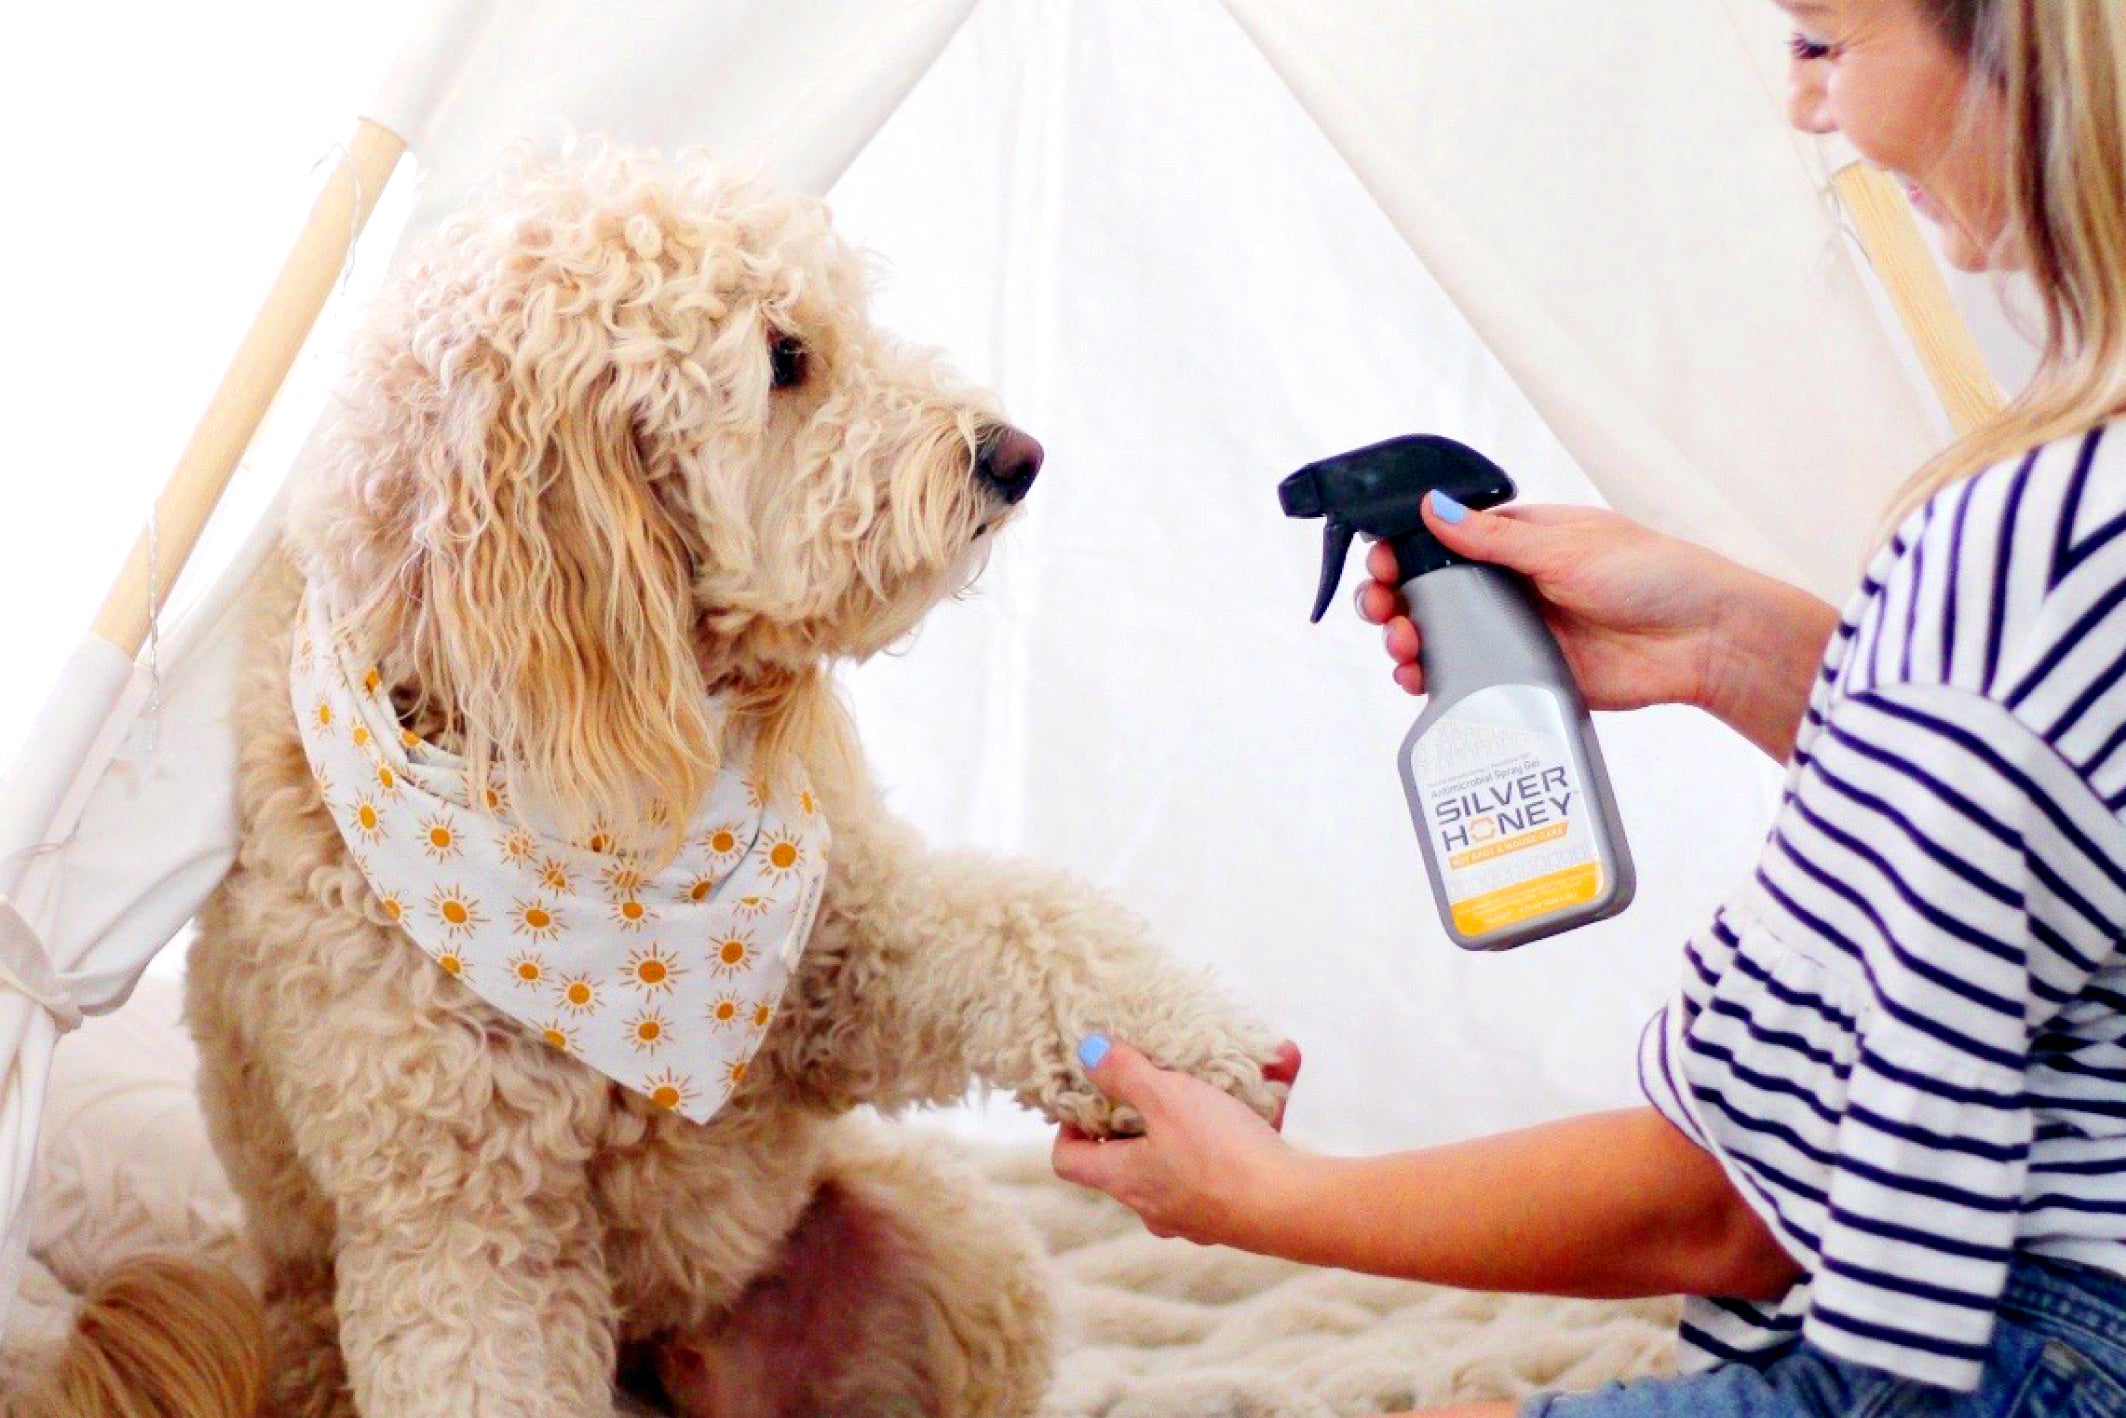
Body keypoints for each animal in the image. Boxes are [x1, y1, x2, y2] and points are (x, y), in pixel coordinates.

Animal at [37, 141, 1292, 1418]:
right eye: (784, 358)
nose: (1013, 454)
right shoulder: (465, 1223)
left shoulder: (852, 949)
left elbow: (1027, 930)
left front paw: (1201, 1054)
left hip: (971, 1257)